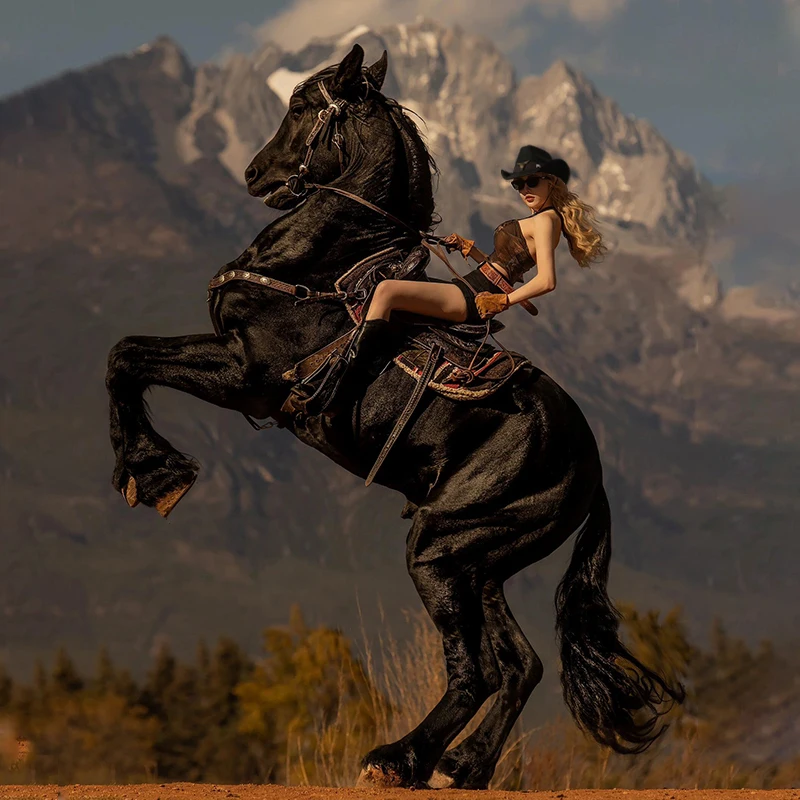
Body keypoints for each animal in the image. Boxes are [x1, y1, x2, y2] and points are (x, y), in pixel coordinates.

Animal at [104, 42, 680, 788]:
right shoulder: (231, 362)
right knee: (519, 666)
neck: (324, 265)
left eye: (301, 106)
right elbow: (127, 352)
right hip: (478, 561)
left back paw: (398, 758)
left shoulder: (246, 374)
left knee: (477, 670)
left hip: (440, 546)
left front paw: (152, 472)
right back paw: (463, 766)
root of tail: (592, 467)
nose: (255, 172)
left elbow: (128, 359)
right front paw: (150, 472)